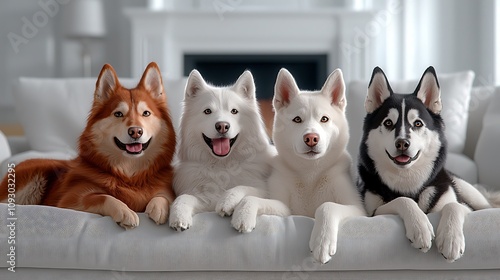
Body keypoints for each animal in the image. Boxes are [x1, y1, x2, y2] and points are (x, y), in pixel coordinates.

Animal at [170, 69, 276, 231]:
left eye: (234, 111)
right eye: (207, 111)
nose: (222, 126)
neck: (222, 164)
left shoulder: (264, 188)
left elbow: (243, 188)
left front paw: (228, 203)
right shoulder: (204, 198)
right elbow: (183, 198)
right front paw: (178, 216)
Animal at [219, 68, 368, 264]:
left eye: (324, 119)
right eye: (297, 119)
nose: (311, 138)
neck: (309, 173)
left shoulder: (358, 209)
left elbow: (327, 205)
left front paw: (322, 241)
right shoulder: (285, 209)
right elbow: (254, 196)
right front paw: (241, 210)